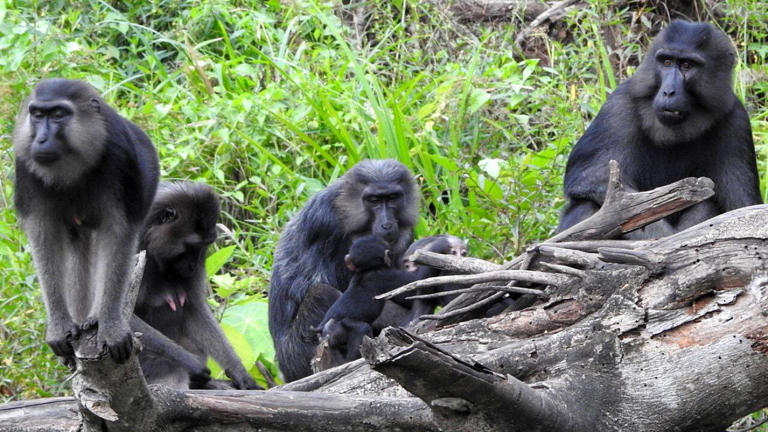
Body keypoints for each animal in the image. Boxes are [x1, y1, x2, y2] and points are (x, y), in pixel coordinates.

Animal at [13, 79, 159, 363]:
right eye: (37, 115)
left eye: (59, 115)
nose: (41, 139)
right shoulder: (25, 166)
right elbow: (43, 238)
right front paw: (59, 327)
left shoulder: (120, 158)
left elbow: (118, 233)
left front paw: (110, 325)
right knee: (77, 245)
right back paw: (81, 320)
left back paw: (94, 317)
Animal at [132, 181, 262, 390]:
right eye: (191, 246)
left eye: (203, 246)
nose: (193, 265)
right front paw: (191, 363)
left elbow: (195, 310)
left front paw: (240, 372)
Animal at [269, 159, 419, 382]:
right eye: (373, 200)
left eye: (392, 198)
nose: (386, 224)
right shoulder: (327, 223)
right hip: (297, 358)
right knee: (322, 293)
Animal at [558, 21, 761, 238]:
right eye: (667, 62)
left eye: (687, 65)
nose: (668, 92)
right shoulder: (618, 107)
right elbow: (595, 178)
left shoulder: (736, 122)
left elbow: (742, 208)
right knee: (586, 205)